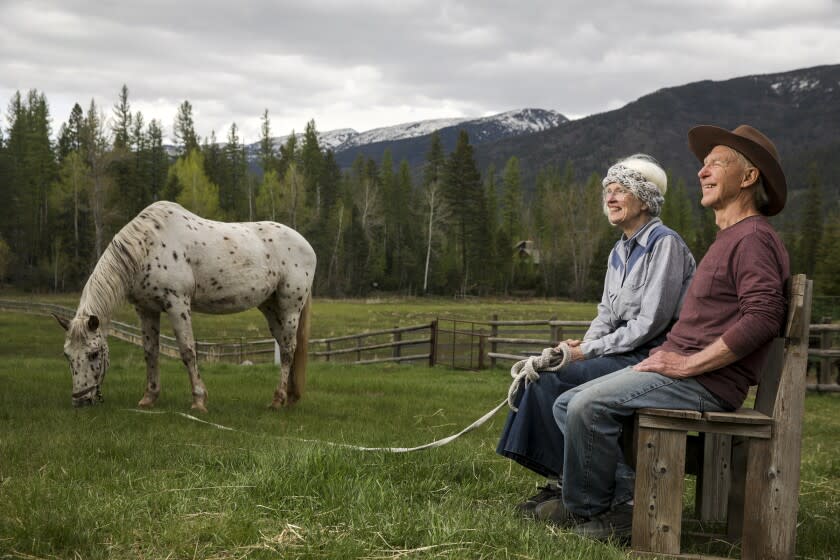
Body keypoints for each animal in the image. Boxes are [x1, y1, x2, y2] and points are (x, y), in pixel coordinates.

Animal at [55, 201, 318, 412]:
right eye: (67, 355)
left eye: (93, 353)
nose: (80, 400)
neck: (146, 247)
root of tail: (307, 245)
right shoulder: (146, 309)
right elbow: (150, 352)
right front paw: (149, 398)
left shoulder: (177, 303)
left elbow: (188, 351)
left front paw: (199, 401)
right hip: (271, 308)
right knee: (285, 346)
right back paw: (290, 397)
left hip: (290, 307)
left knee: (288, 350)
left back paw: (278, 400)